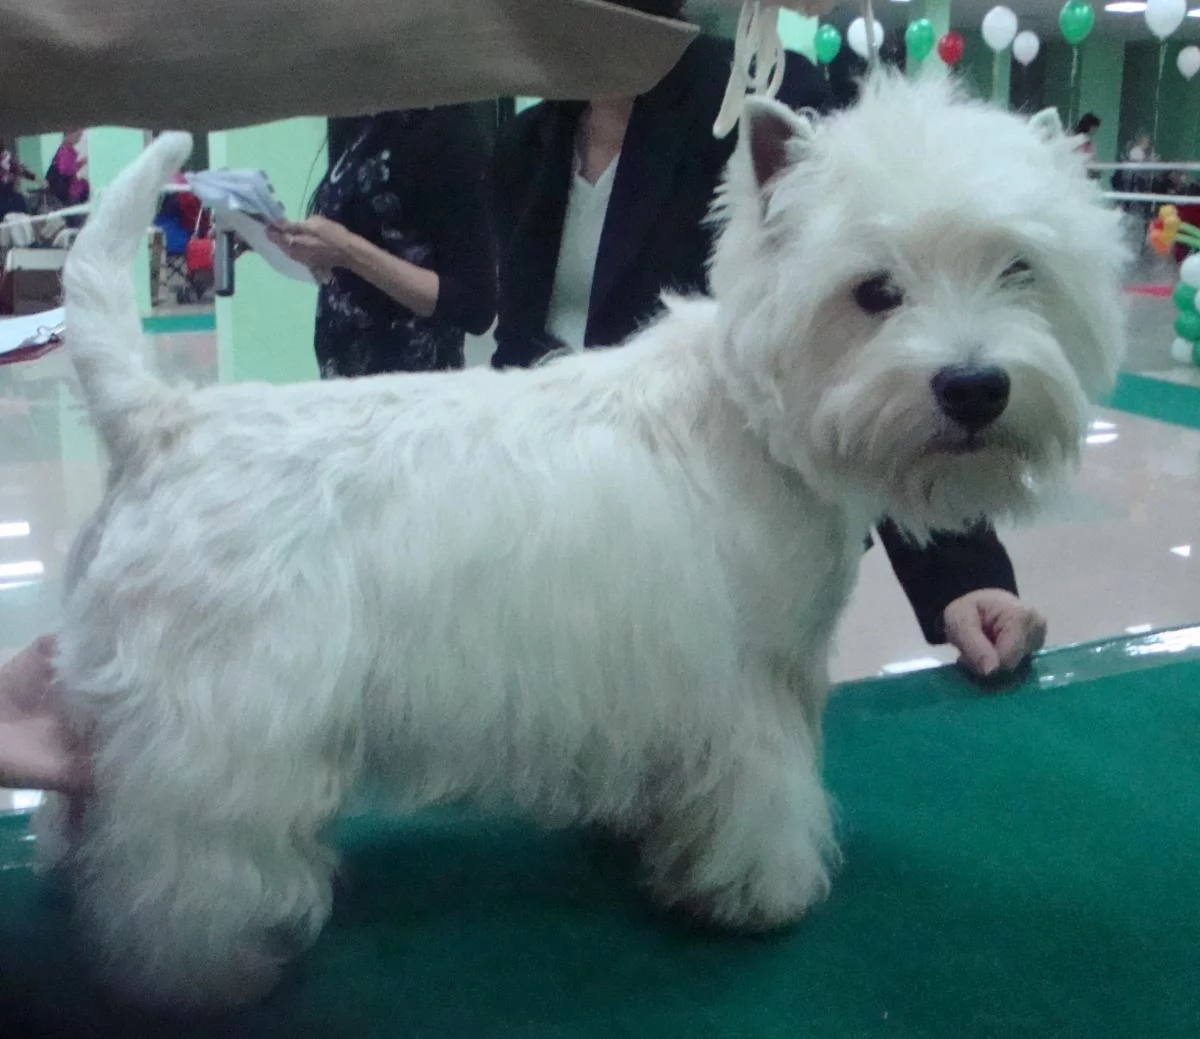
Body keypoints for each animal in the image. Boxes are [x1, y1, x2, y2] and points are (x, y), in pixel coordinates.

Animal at [37, 73, 1126, 1009]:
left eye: (1019, 267)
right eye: (873, 291)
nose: (975, 388)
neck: (755, 419)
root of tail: (161, 420)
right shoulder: (744, 681)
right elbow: (765, 790)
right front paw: (762, 892)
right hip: (226, 723)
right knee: (178, 862)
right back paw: (202, 967)